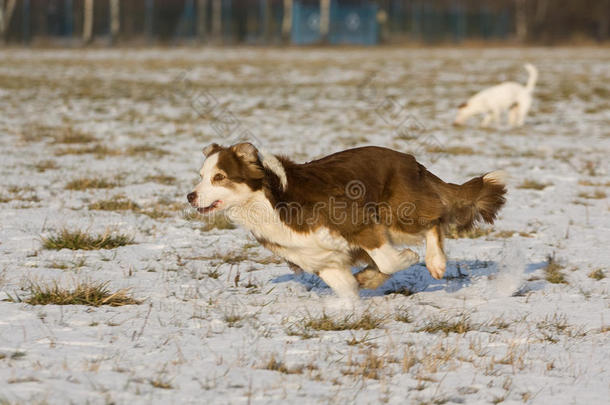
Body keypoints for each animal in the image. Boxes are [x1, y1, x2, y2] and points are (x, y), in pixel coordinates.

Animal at [185, 144, 504, 298]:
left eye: (219, 177)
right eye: (201, 176)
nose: (190, 196)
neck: (268, 204)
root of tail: (411, 161)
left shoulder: (358, 223)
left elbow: (389, 260)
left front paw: (407, 259)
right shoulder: (320, 258)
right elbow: (348, 286)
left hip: (395, 212)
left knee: (434, 222)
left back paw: (435, 263)